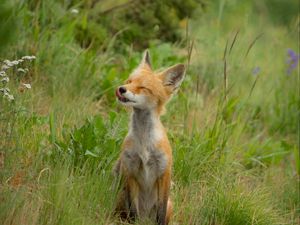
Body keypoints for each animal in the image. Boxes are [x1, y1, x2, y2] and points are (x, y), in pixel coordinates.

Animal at [113, 50, 185, 224]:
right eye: (129, 81)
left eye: (143, 87)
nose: (121, 89)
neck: (144, 142)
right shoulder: (130, 170)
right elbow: (133, 211)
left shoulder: (164, 173)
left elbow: (161, 212)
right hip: (121, 198)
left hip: (170, 205)